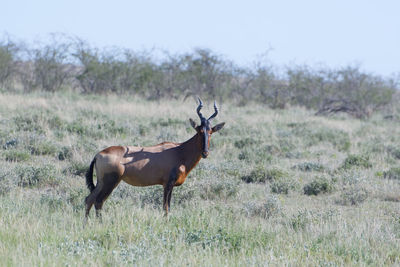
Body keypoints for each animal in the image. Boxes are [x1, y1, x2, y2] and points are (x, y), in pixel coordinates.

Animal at [84, 99, 225, 220]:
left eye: (210, 132)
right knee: (98, 201)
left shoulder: (170, 185)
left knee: (89, 199)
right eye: (199, 131)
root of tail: (98, 154)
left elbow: (168, 207)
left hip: (101, 182)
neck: (179, 150)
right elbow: (166, 208)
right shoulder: (167, 184)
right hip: (111, 182)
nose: (205, 153)